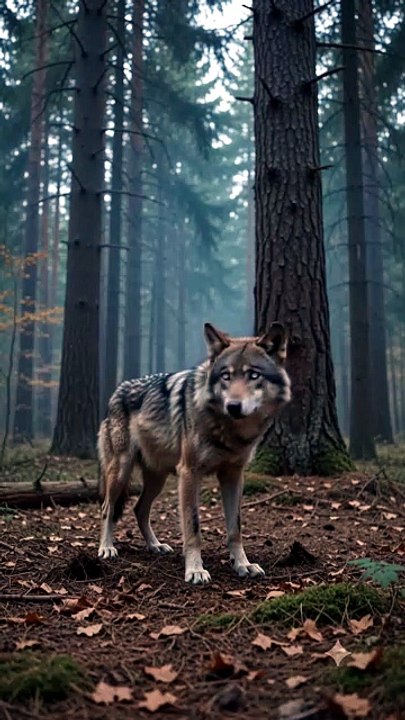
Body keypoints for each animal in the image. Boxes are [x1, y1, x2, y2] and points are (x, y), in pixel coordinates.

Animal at [98, 322, 291, 584]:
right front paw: (195, 570)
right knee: (107, 508)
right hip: (120, 471)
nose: (233, 406)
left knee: (139, 509)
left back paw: (155, 546)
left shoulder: (233, 475)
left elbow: (235, 528)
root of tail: (118, 390)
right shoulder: (189, 473)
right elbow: (193, 527)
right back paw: (106, 548)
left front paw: (243, 565)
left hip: (158, 479)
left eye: (254, 375)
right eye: (226, 376)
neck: (227, 429)